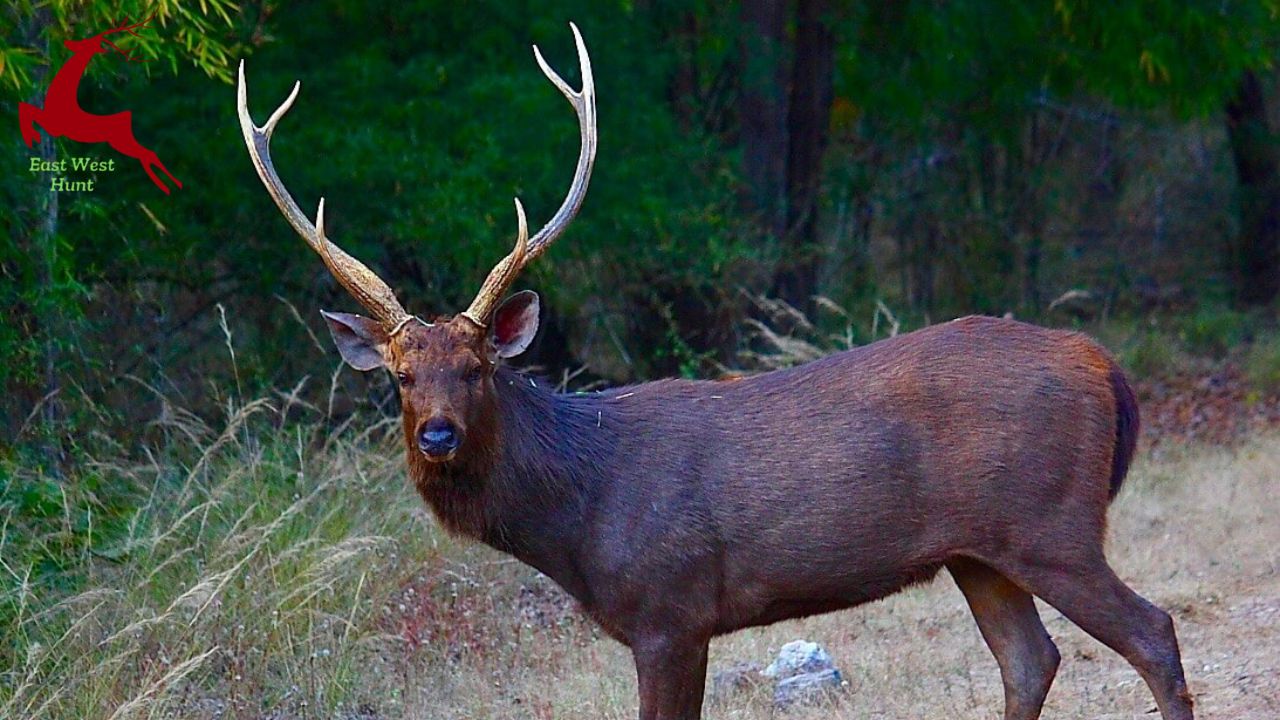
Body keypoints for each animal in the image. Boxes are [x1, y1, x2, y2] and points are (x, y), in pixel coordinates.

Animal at [235, 22, 1192, 717]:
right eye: (399, 376)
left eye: (477, 368)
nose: (437, 436)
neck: (578, 516)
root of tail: (1106, 368)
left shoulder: (671, 608)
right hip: (980, 549)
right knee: (1031, 659)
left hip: (1050, 522)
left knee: (1153, 632)